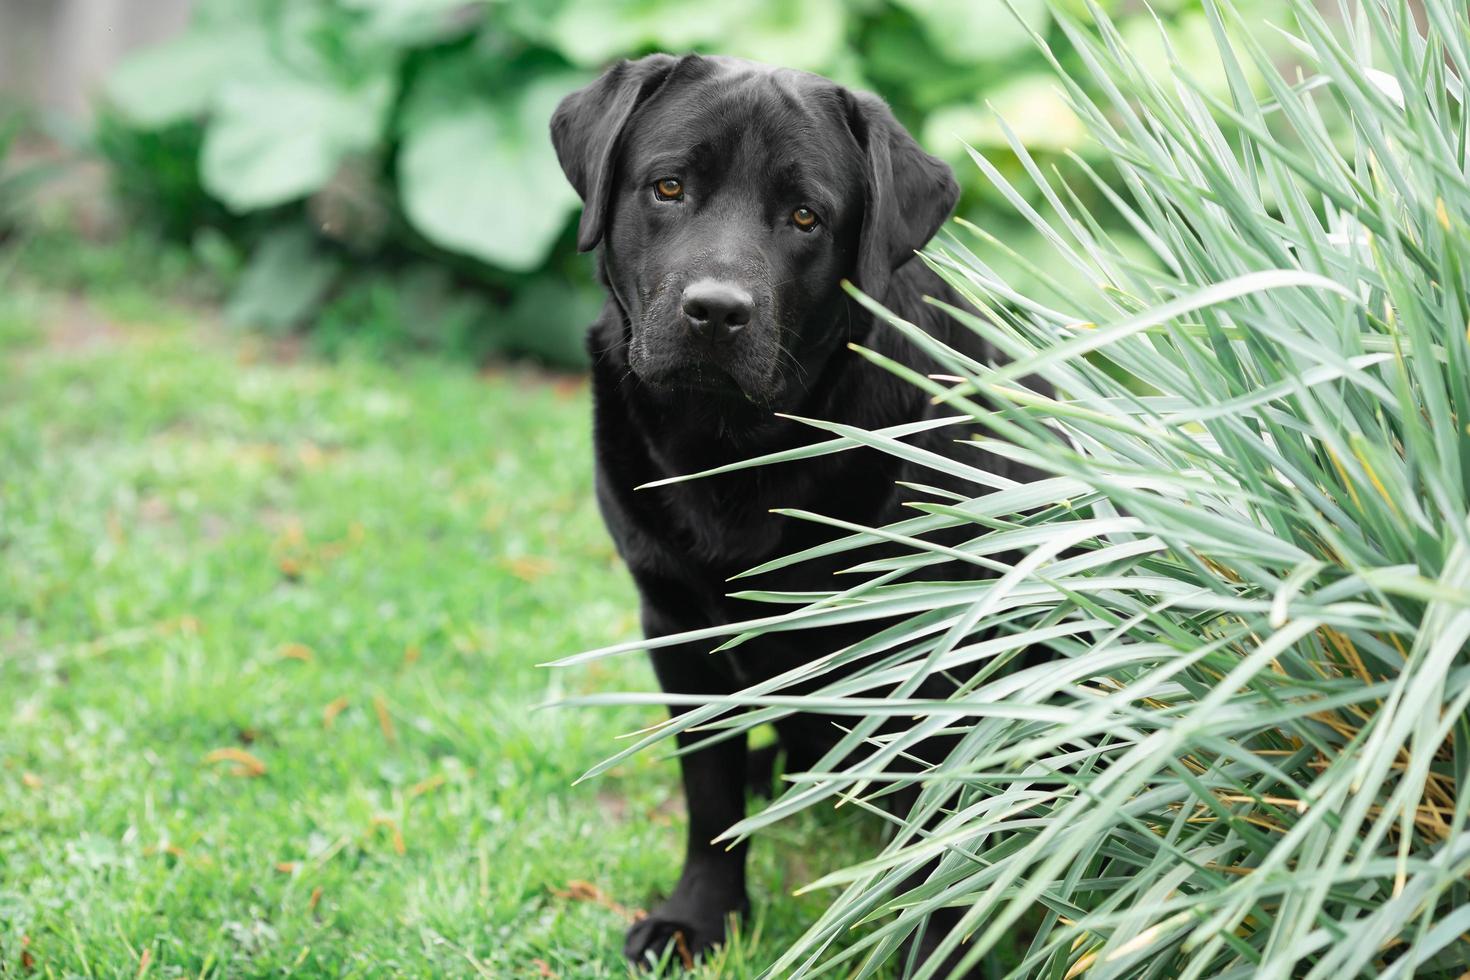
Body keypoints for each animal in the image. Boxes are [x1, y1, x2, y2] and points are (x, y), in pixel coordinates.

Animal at [552, 55, 1046, 980]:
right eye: (668, 186)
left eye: (806, 216)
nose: (716, 310)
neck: (735, 459)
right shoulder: (676, 624)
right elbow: (708, 796)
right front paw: (698, 919)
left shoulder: (942, 661)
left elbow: (931, 849)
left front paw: (926, 952)